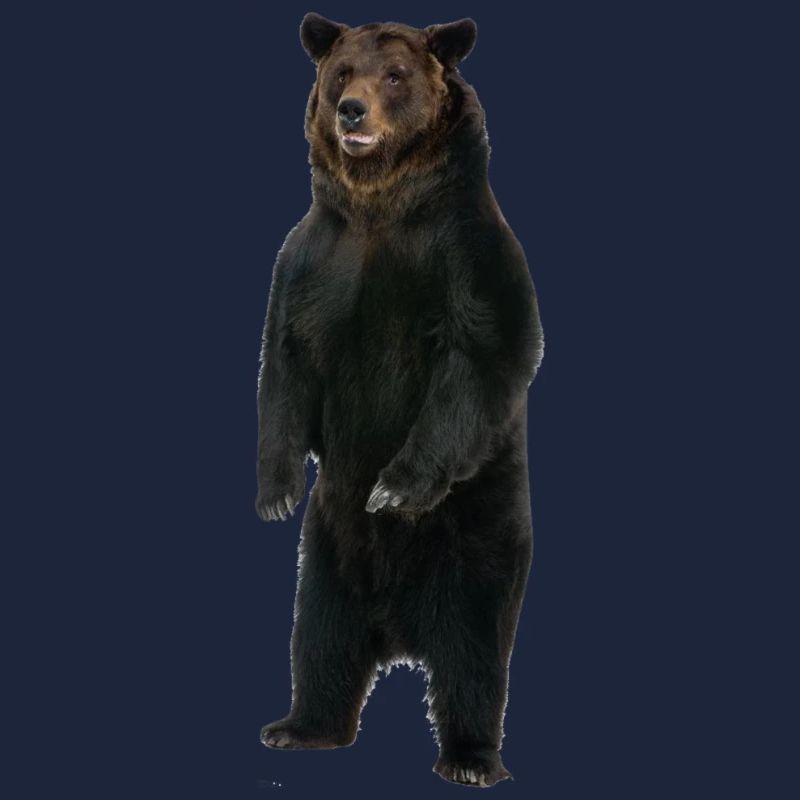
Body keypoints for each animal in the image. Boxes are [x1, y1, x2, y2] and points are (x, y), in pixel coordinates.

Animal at [255, 13, 545, 788]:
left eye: (395, 75)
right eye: (341, 72)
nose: (352, 111)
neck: (380, 205)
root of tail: (400, 630)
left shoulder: (465, 256)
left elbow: (478, 360)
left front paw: (393, 488)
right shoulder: (312, 262)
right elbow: (284, 364)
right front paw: (275, 491)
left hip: (478, 535)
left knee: (474, 652)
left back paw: (471, 757)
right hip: (326, 554)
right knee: (319, 637)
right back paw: (299, 726)